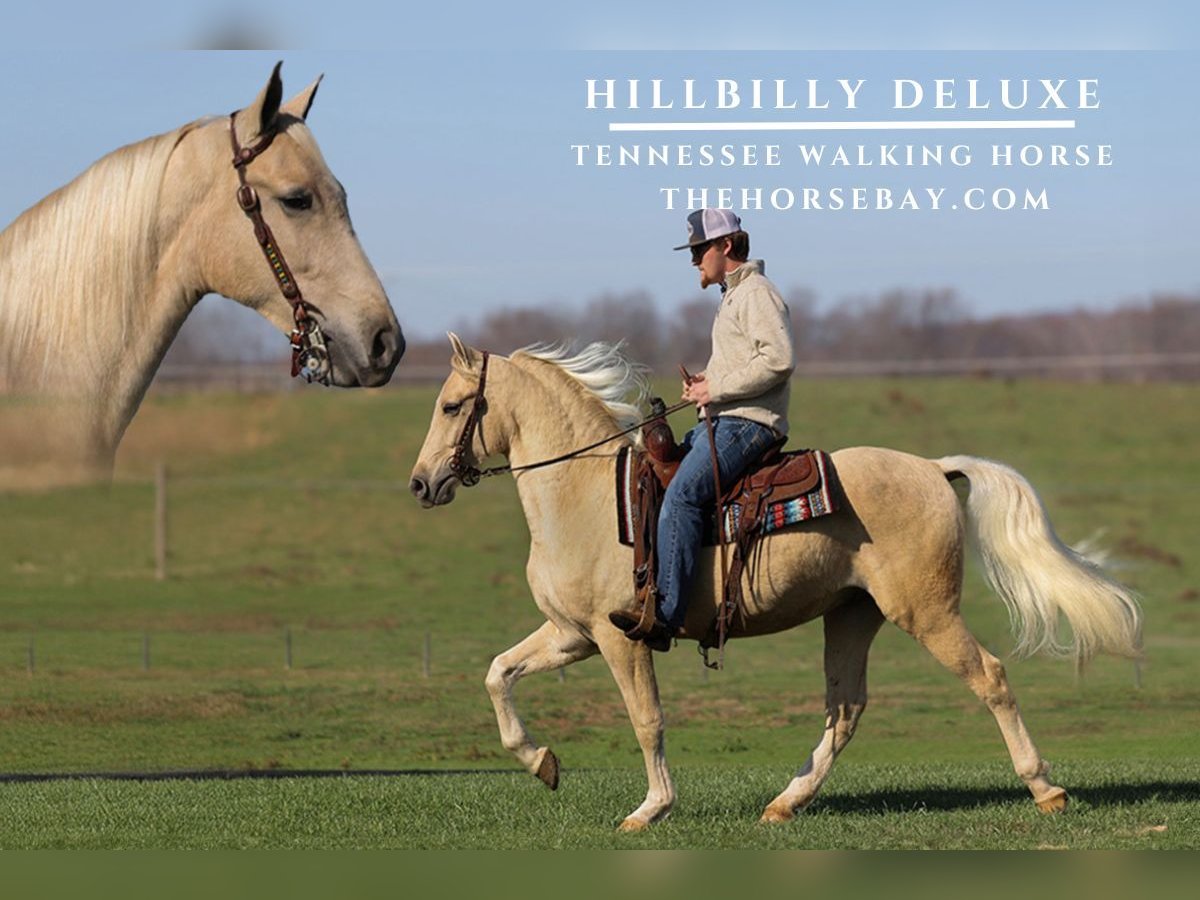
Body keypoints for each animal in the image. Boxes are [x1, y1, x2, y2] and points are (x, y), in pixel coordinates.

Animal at [412, 336, 1142, 830]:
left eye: (452, 406)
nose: (421, 483)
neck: (583, 494)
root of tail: (935, 468)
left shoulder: (620, 640)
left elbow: (646, 720)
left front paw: (651, 808)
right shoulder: (574, 634)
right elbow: (498, 673)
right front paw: (542, 762)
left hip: (928, 614)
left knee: (988, 677)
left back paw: (1045, 789)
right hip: (852, 615)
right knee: (846, 709)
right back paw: (786, 802)